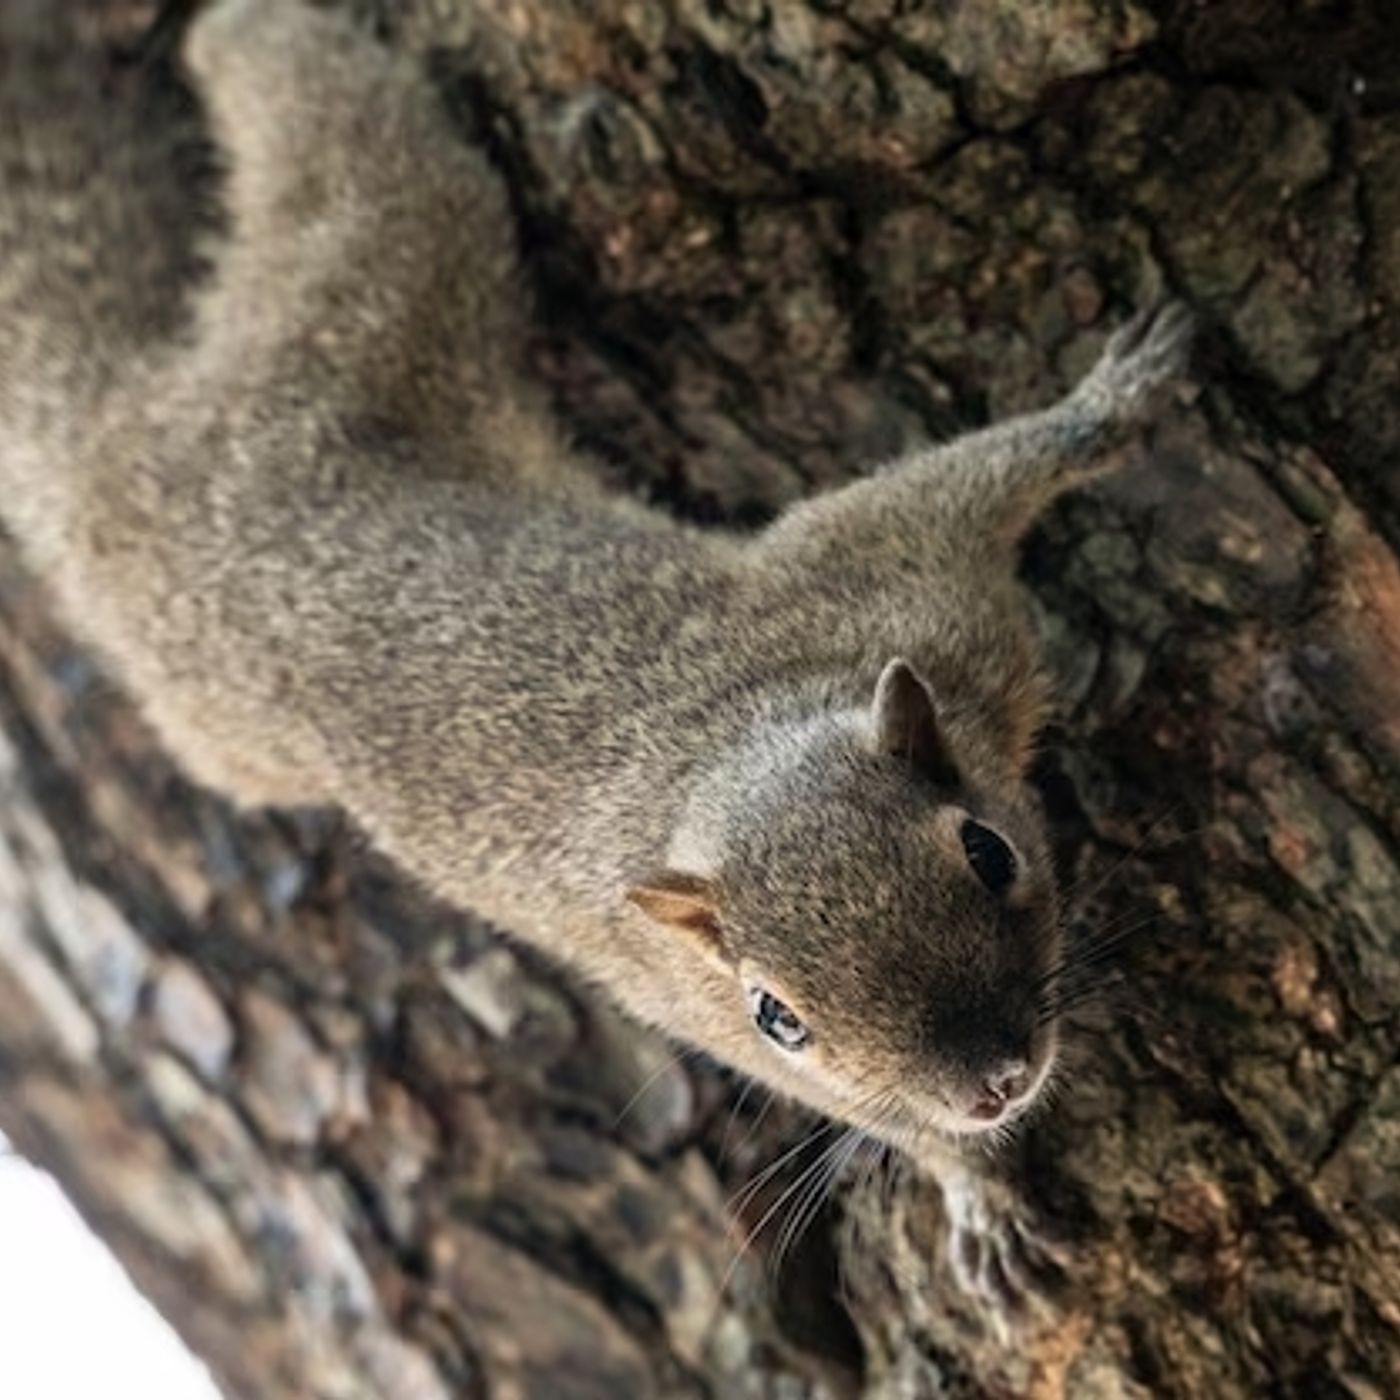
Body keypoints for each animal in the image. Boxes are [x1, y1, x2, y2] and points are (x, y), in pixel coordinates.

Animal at [0, 0, 1192, 1300]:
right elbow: (864, 1109)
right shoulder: (702, 985)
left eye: (986, 850)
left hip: (376, 299)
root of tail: (119, 470)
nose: (991, 1083)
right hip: (337, 402)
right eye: (777, 1016)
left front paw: (1113, 401)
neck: (732, 746)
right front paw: (971, 1185)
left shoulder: (902, 581)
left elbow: (995, 468)